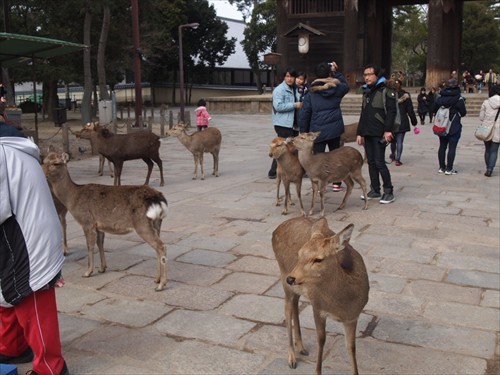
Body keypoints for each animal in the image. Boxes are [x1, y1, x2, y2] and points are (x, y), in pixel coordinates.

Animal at [43, 151, 168, 292]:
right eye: (44, 160)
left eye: (56, 163)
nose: (42, 171)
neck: (73, 199)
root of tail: (159, 199)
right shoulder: (99, 225)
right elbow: (100, 243)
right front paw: (102, 268)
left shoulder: (87, 221)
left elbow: (90, 246)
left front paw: (88, 272)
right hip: (157, 223)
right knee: (157, 247)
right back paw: (156, 279)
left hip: (142, 224)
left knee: (161, 246)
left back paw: (161, 285)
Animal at [272, 217, 370, 375]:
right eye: (299, 254)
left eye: (318, 259)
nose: (291, 278)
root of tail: (276, 230)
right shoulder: (317, 307)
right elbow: (321, 339)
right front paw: (317, 371)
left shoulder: (352, 317)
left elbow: (351, 347)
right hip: (283, 277)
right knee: (287, 310)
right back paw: (292, 358)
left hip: (296, 287)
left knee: (295, 304)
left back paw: (301, 347)